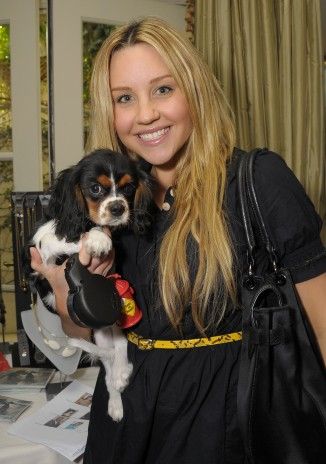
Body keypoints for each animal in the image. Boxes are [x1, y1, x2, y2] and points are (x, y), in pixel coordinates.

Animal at [26, 149, 153, 420]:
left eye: (128, 188)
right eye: (95, 188)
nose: (117, 208)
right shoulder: (41, 246)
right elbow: (66, 237)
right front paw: (97, 238)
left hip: (108, 329)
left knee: (119, 347)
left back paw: (121, 377)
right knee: (109, 366)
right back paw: (116, 397)